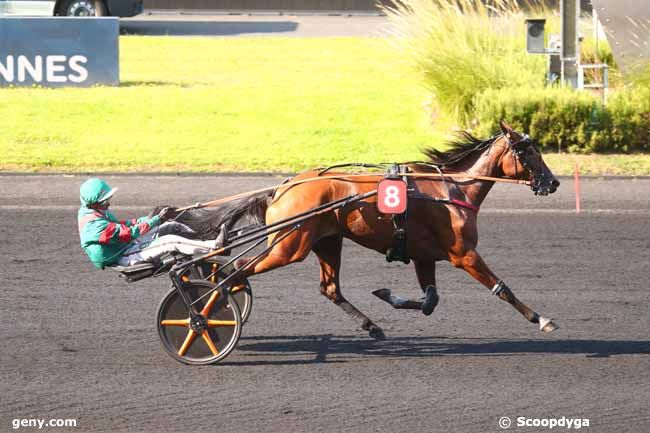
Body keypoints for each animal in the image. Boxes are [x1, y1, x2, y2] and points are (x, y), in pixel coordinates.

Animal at [176, 120, 556, 338]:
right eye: (529, 152)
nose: (552, 182)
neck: (452, 189)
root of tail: (285, 187)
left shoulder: (424, 256)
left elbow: (430, 300)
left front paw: (387, 295)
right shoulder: (463, 254)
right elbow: (502, 288)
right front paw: (541, 319)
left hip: (326, 242)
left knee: (329, 288)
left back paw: (371, 326)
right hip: (289, 246)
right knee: (234, 270)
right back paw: (206, 310)